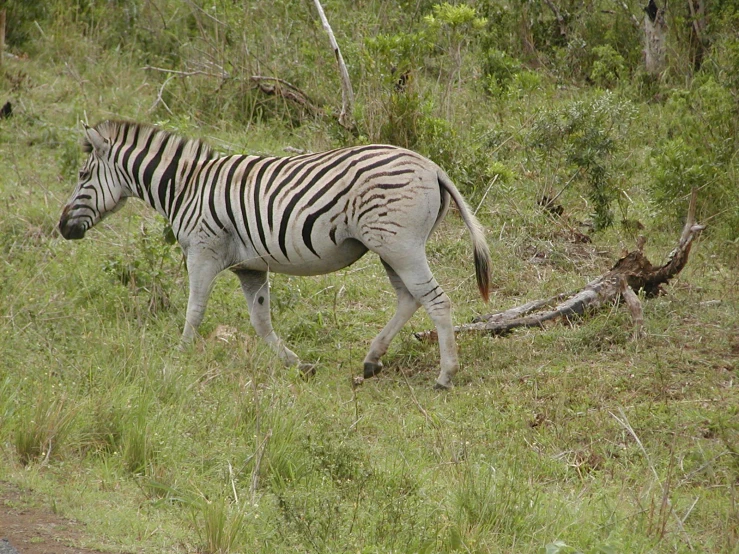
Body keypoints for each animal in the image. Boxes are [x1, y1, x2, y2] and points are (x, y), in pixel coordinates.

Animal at [60, 121, 492, 388]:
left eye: (82, 176)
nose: (63, 228)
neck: (186, 186)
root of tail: (433, 166)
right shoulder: (249, 267)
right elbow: (261, 321)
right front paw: (298, 364)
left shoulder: (202, 250)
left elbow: (194, 311)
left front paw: (178, 358)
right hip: (388, 247)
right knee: (409, 298)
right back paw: (372, 359)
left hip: (400, 244)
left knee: (436, 300)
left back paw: (445, 376)